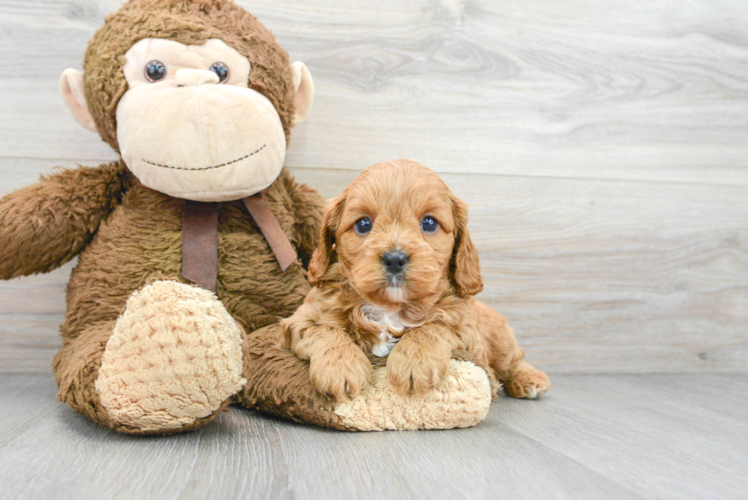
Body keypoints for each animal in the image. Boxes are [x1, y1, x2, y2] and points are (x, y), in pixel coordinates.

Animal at [280, 160, 548, 402]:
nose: (394, 259)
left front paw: (414, 362)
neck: (390, 307)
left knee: (513, 359)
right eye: (363, 224)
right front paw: (341, 367)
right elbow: (325, 330)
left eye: (429, 223)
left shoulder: (466, 329)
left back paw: (530, 379)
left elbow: (433, 326)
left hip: (500, 339)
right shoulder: (299, 320)